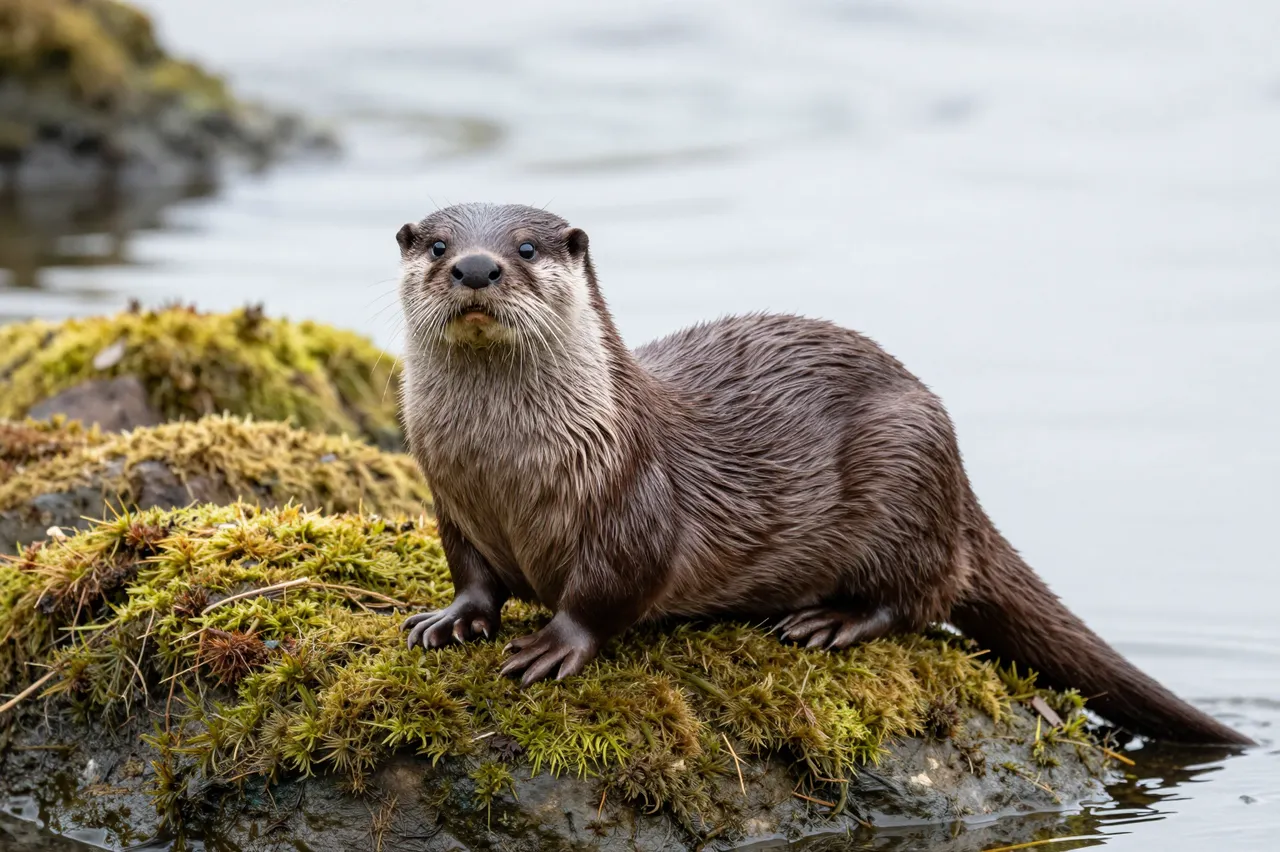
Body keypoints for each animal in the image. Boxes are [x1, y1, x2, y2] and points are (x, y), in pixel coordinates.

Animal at [395, 202, 1253, 747]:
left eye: (526, 248)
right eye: (436, 246)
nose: (477, 266)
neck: (505, 472)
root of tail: (958, 475)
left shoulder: (635, 500)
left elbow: (610, 591)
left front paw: (554, 643)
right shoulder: (451, 501)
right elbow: (473, 574)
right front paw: (453, 618)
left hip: (906, 470)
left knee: (923, 597)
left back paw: (831, 622)